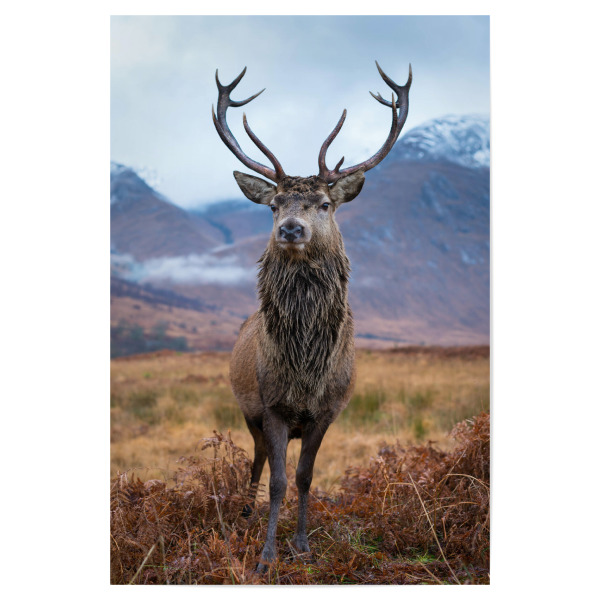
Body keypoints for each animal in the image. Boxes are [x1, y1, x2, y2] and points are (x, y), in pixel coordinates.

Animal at [212, 61, 411, 572]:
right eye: (274, 204)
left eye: (324, 204)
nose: (290, 228)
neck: (305, 370)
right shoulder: (272, 406)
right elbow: (279, 481)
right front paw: (266, 556)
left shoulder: (328, 411)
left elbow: (304, 477)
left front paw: (302, 546)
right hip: (247, 409)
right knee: (257, 460)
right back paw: (245, 513)